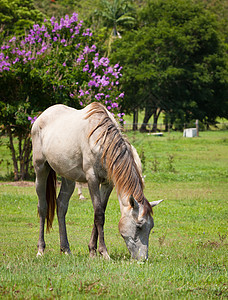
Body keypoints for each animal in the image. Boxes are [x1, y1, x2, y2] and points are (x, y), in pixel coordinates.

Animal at [31, 102, 164, 258]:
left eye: (151, 226)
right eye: (139, 226)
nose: (143, 259)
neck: (101, 140)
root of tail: (41, 116)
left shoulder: (108, 183)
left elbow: (100, 212)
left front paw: (93, 251)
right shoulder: (92, 179)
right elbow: (99, 214)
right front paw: (104, 252)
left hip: (68, 177)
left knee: (61, 206)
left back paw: (66, 249)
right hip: (41, 169)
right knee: (43, 206)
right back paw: (41, 249)